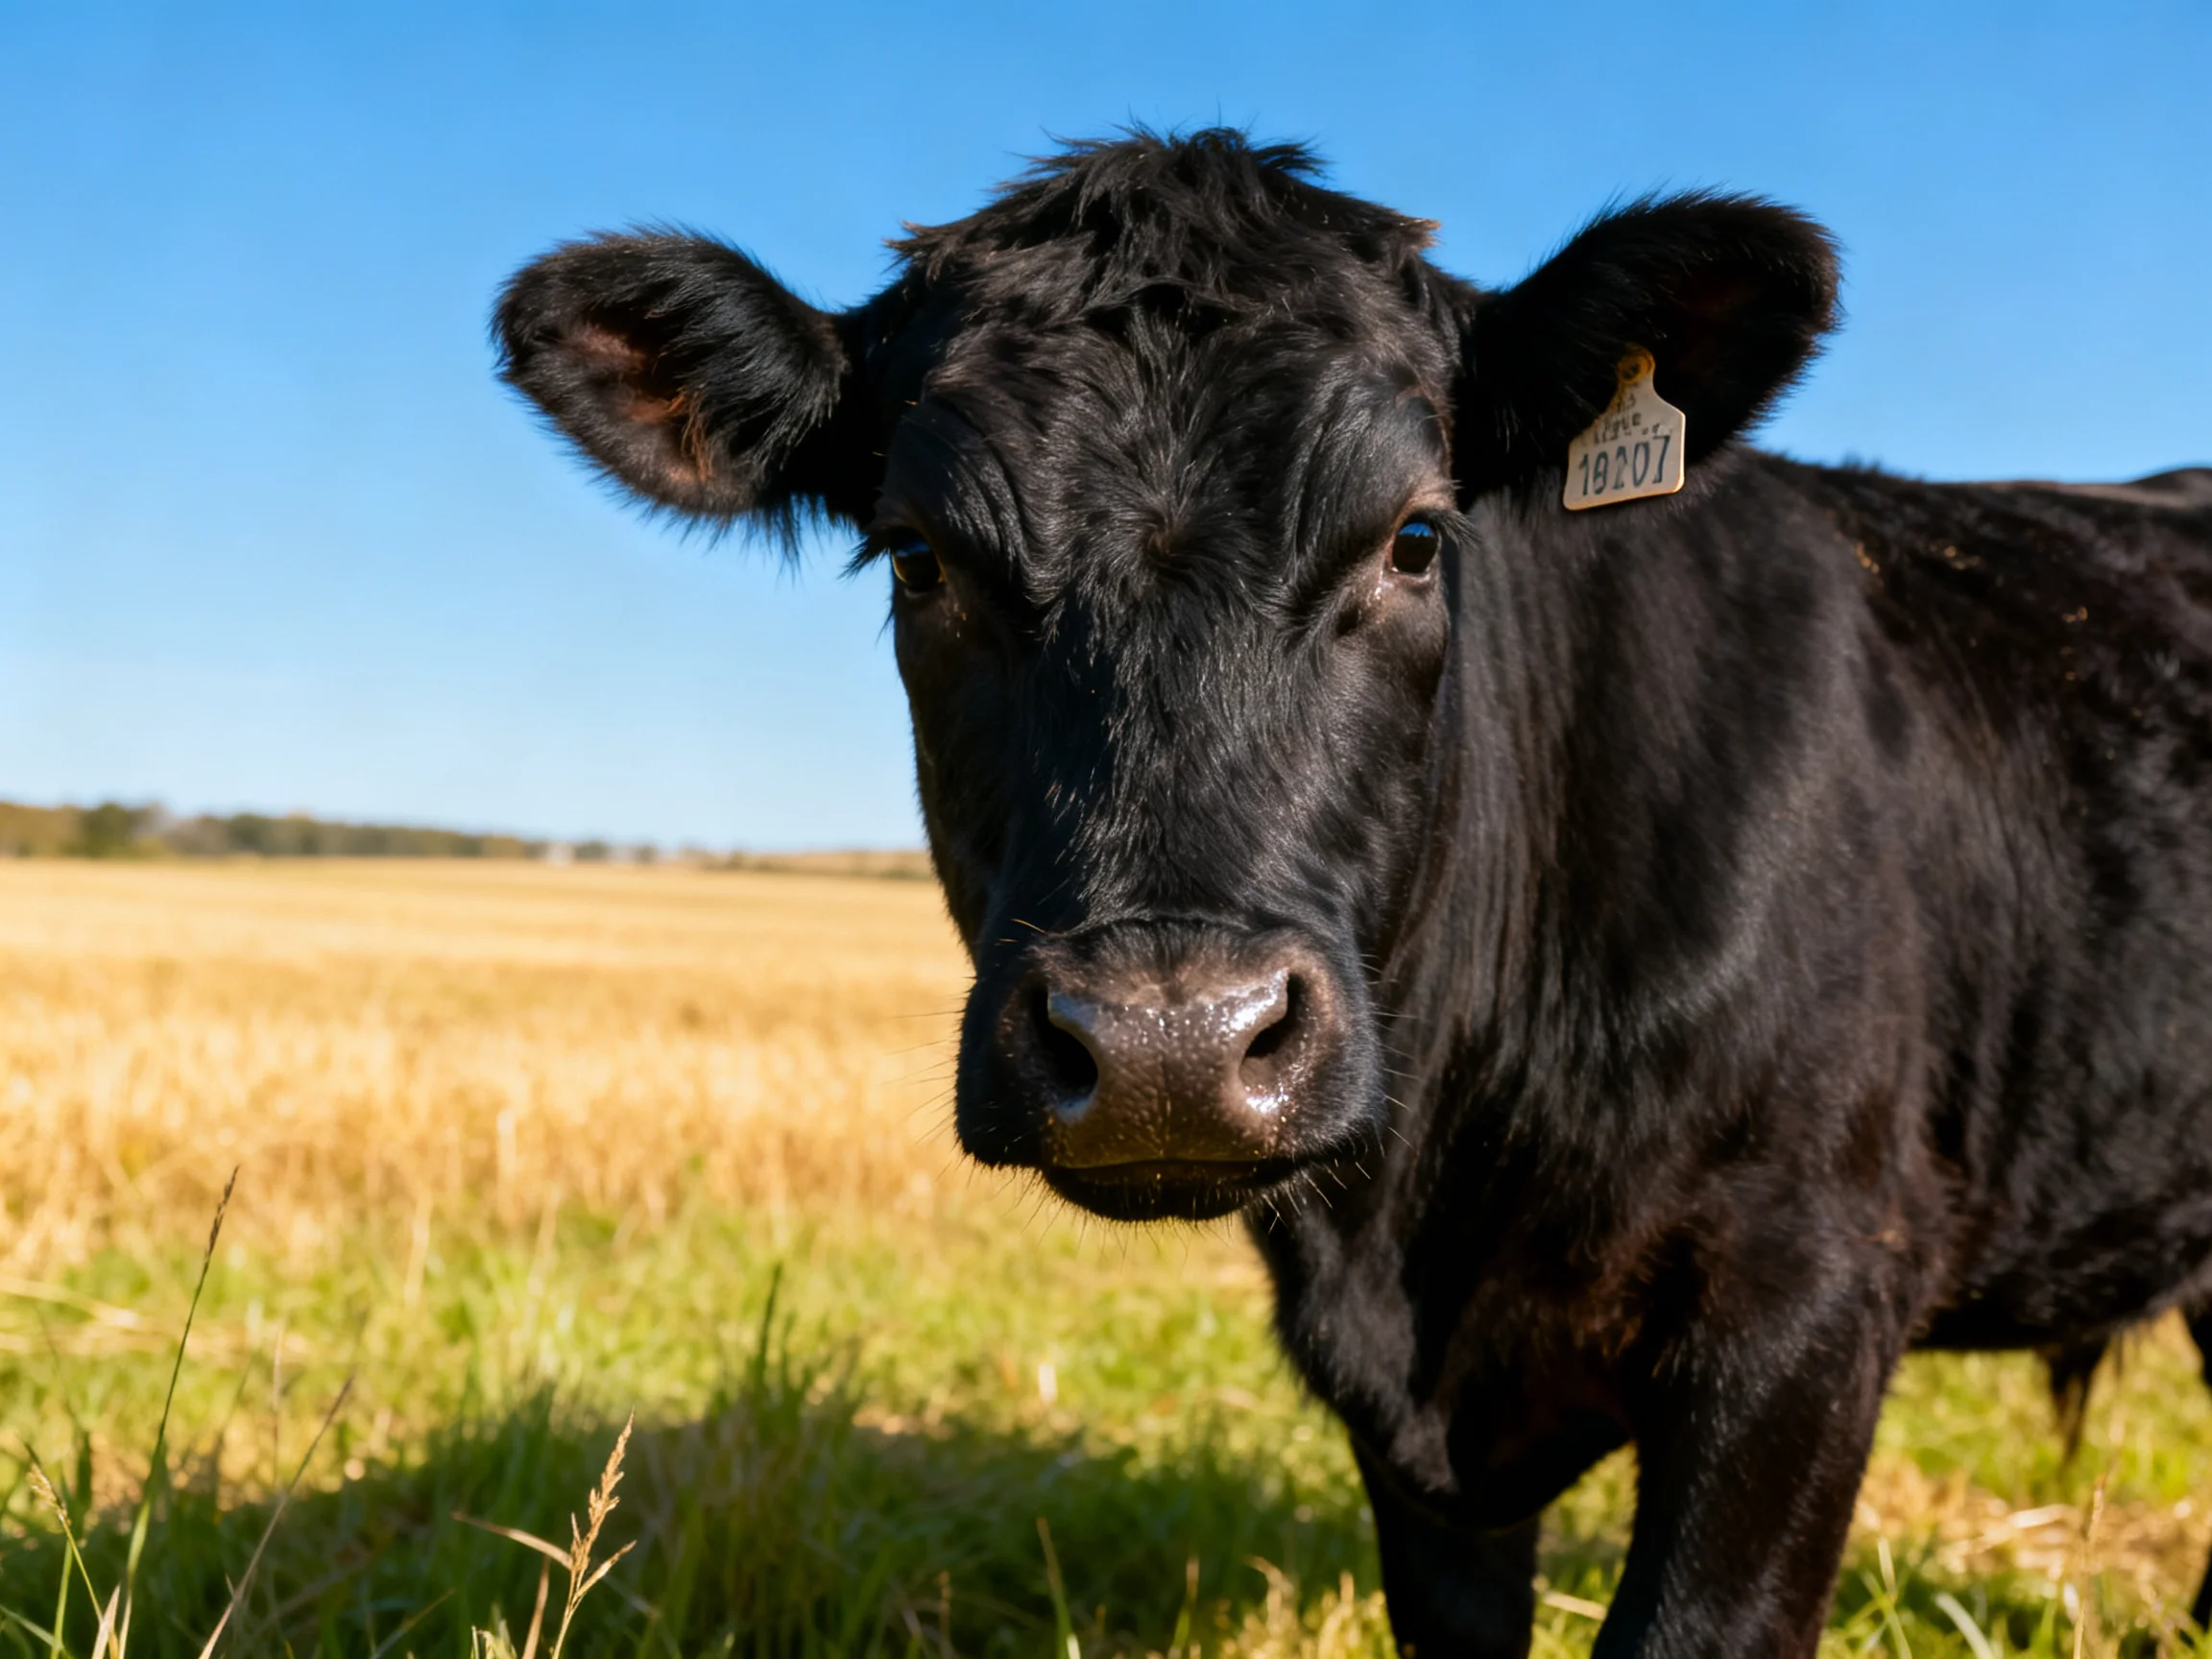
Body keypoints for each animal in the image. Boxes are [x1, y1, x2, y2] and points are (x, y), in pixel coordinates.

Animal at [494, 130, 2212, 1656]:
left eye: (1416, 535)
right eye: (917, 558)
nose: (1170, 1046)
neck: (1422, 1232)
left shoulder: (1804, 1299)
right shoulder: (1418, 1456)